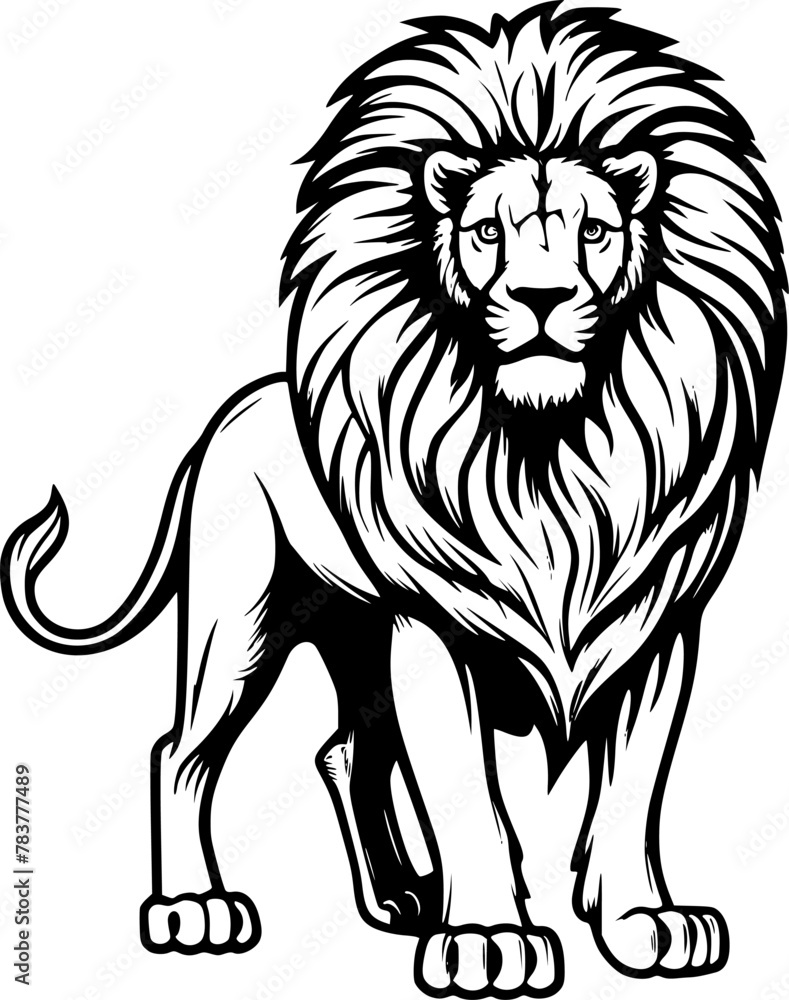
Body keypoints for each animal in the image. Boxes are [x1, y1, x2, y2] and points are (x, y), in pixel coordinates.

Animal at [3, 5, 785, 997]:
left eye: (594, 232)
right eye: (487, 232)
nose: (540, 297)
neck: (547, 451)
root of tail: (235, 410)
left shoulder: (656, 626)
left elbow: (633, 785)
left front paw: (644, 922)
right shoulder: (441, 625)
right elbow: (470, 793)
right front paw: (486, 940)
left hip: (351, 625)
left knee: (347, 748)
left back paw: (402, 897)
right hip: (240, 622)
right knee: (181, 752)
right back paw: (195, 911)